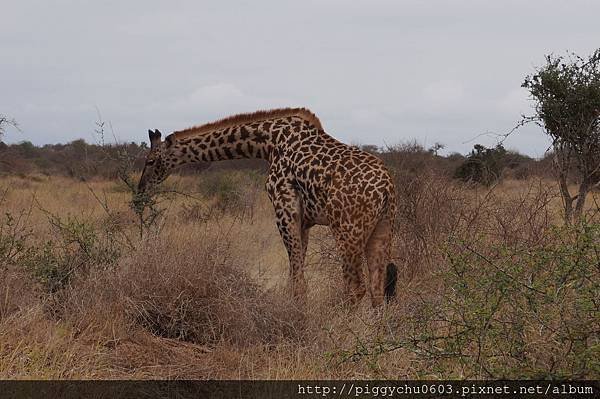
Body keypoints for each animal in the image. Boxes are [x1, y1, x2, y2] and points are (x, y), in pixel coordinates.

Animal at [138, 108, 396, 308]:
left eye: (150, 161)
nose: (140, 190)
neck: (268, 142)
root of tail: (386, 189)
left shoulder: (285, 209)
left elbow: (298, 279)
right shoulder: (304, 220)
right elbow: (295, 274)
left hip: (346, 229)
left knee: (356, 288)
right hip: (382, 229)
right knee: (377, 288)